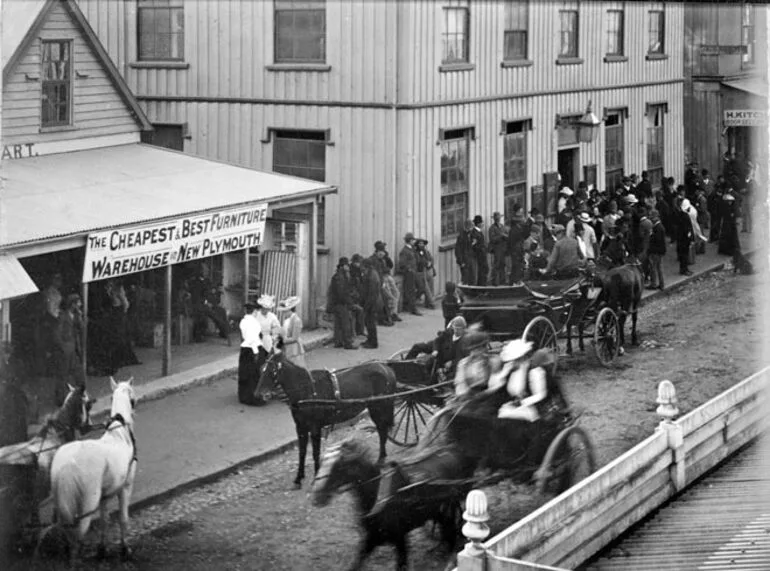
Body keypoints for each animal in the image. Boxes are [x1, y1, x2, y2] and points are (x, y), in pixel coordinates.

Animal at [41, 376, 136, 568]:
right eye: (132, 397)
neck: (119, 433)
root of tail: (67, 465)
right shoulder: (126, 487)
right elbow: (123, 518)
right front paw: (125, 549)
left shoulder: (104, 496)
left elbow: (105, 521)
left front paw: (102, 549)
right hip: (87, 505)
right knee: (77, 537)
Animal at [255, 350, 396, 490]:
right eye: (261, 369)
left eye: (272, 370)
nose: (258, 394)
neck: (307, 391)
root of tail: (385, 367)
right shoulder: (300, 427)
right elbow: (302, 453)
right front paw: (298, 479)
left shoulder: (315, 427)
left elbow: (315, 453)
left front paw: (316, 477)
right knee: (382, 430)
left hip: (379, 407)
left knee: (382, 431)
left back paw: (381, 459)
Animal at [310, 440, 468, 568]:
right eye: (321, 462)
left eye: (339, 466)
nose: (317, 496)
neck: (378, 495)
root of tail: (452, 451)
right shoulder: (371, 539)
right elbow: (356, 563)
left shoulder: (400, 539)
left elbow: (402, 564)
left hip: (446, 512)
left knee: (451, 533)